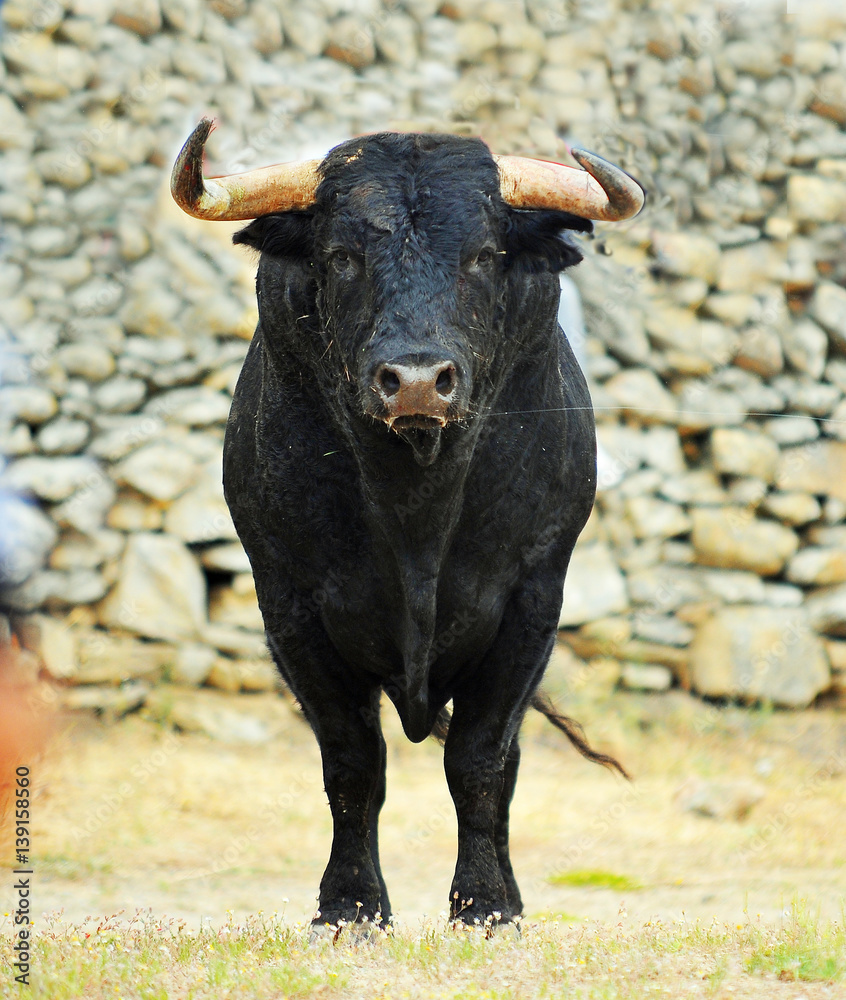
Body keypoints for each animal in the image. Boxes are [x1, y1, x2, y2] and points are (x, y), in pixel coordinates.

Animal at [171, 120, 643, 930]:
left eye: (484, 254)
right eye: (342, 256)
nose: (418, 382)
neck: (416, 503)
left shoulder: (531, 601)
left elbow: (481, 762)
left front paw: (485, 907)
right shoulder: (290, 606)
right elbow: (353, 764)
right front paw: (351, 907)